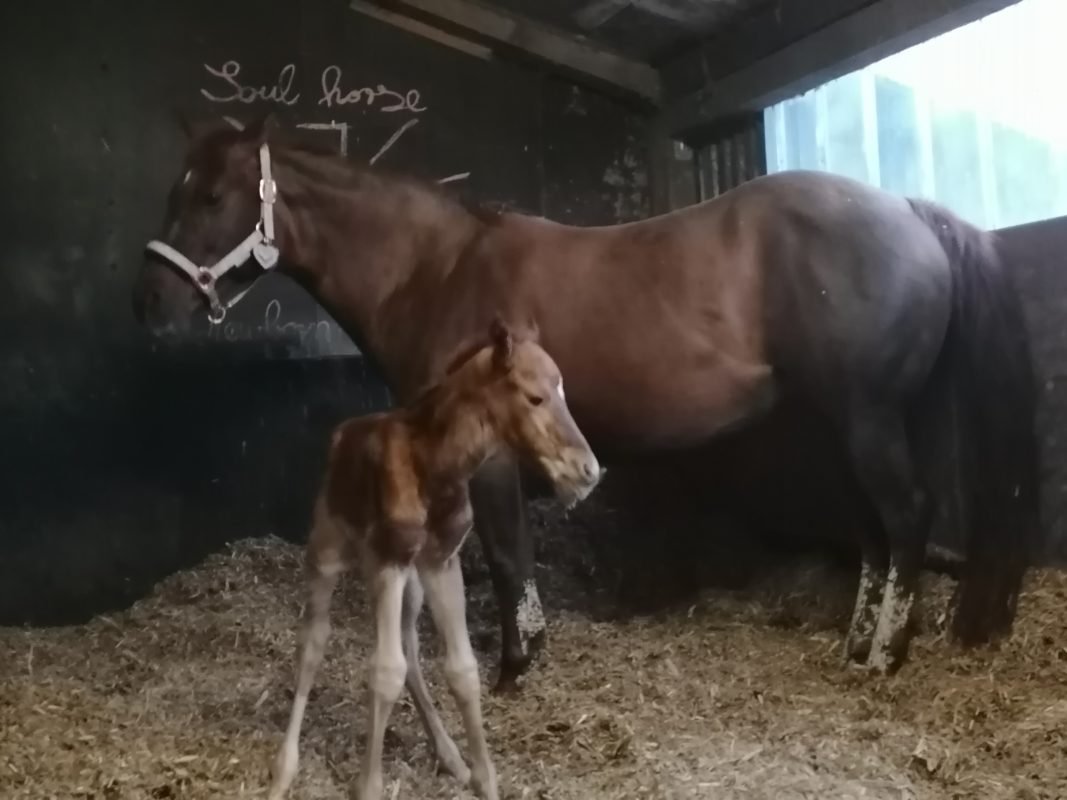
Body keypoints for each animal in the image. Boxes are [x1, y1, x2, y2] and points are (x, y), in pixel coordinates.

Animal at [133, 113, 1038, 683]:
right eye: (175, 191)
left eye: (211, 196)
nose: (153, 303)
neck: (436, 269)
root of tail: (908, 211)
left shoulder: (493, 458)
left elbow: (507, 556)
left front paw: (514, 668)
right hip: (845, 426)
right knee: (876, 535)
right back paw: (855, 646)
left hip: (868, 421)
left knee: (907, 520)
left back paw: (883, 659)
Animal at [267, 318, 600, 800]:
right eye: (535, 397)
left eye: (564, 392)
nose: (588, 471)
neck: (432, 465)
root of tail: (342, 433)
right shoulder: (390, 560)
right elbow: (385, 672)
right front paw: (368, 786)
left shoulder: (440, 563)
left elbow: (461, 669)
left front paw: (483, 779)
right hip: (328, 552)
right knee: (313, 642)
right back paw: (283, 771)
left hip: (411, 584)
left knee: (408, 644)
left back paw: (450, 756)